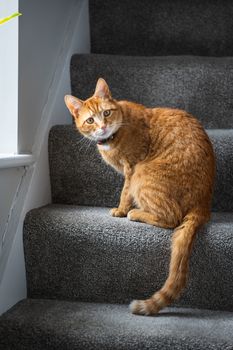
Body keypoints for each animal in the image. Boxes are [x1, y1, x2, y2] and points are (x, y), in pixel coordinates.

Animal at [64, 78, 215, 316]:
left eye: (106, 113)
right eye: (90, 120)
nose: (103, 126)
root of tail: (204, 201)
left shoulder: (132, 168)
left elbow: (125, 193)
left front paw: (121, 209)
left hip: (143, 175)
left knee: (172, 218)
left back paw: (136, 213)